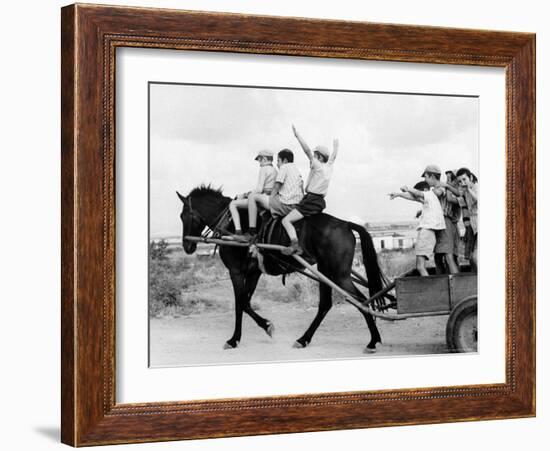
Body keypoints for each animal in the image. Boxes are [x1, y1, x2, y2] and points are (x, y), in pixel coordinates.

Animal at [177, 185, 388, 354]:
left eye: (184, 215)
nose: (187, 246)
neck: (231, 223)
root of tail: (345, 224)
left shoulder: (236, 271)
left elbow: (239, 304)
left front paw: (234, 339)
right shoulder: (253, 272)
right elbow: (246, 303)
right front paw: (266, 326)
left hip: (339, 274)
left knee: (361, 301)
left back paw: (373, 341)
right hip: (326, 271)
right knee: (326, 304)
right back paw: (304, 339)